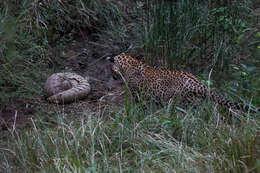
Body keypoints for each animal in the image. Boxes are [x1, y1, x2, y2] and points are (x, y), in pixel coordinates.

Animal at [109, 52, 258, 112]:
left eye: (111, 69)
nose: (113, 77)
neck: (128, 65)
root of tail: (198, 83)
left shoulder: (138, 93)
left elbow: (139, 104)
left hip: (172, 99)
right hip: (192, 101)